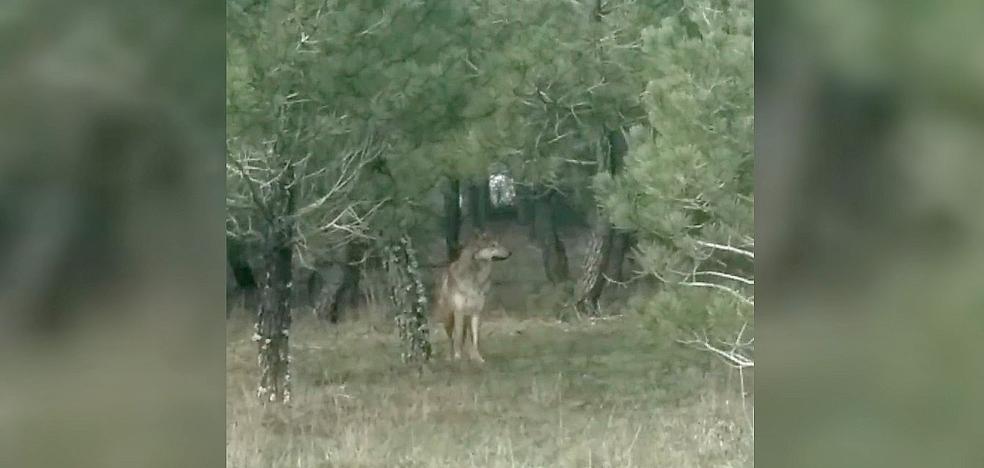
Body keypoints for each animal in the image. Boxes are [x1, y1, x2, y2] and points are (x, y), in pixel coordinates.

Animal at [432, 231, 512, 362]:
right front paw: (458, 357)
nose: (510, 252)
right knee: (451, 338)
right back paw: (450, 357)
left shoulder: (476, 312)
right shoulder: (459, 311)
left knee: (465, 337)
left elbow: (475, 339)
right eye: (493, 245)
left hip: (467, 318)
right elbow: (458, 337)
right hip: (449, 317)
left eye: (498, 243)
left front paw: (477, 358)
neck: (476, 277)